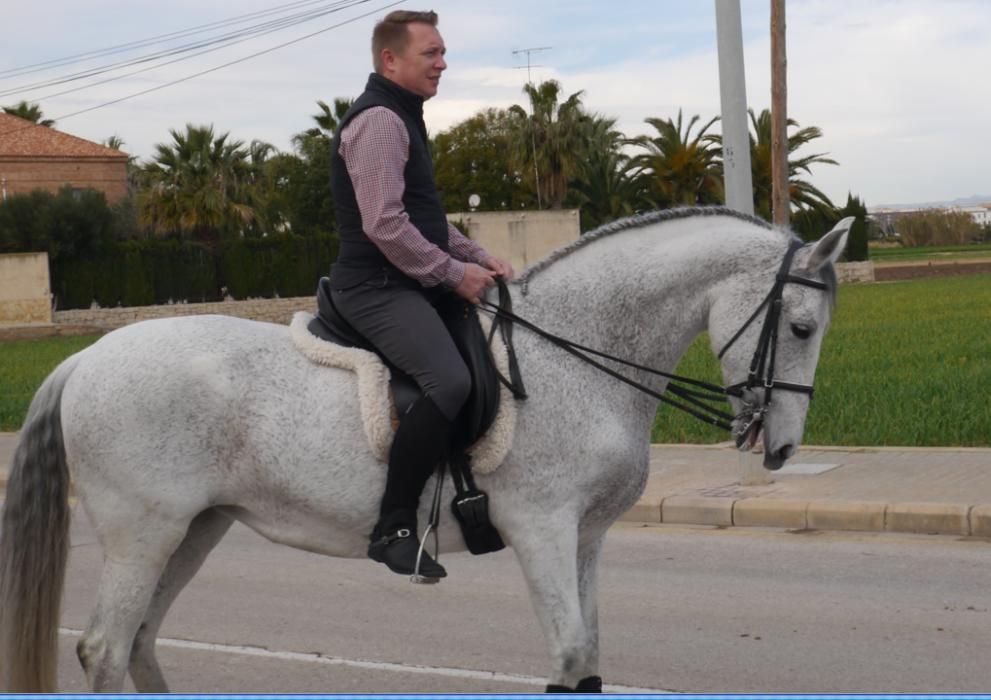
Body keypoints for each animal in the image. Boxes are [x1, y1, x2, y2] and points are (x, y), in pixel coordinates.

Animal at [1, 206, 852, 688]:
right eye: (800, 327)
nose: (778, 447)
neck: (576, 352)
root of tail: (85, 358)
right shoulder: (540, 528)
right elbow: (568, 654)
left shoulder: (585, 537)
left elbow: (589, 657)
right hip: (142, 532)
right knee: (106, 649)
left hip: (194, 529)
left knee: (140, 643)